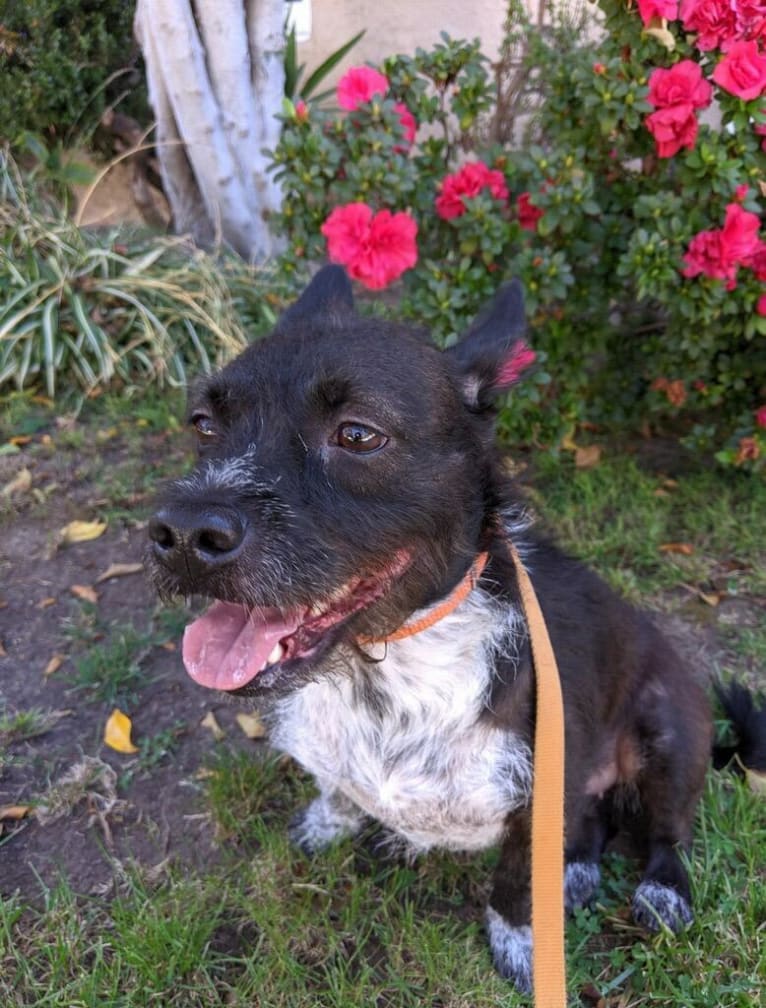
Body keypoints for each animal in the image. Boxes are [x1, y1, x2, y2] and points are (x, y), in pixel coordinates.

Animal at [148, 266, 729, 991]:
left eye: (358, 434)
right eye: (203, 424)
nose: (181, 535)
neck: (387, 666)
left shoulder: (541, 798)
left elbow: (514, 886)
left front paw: (521, 946)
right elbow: (336, 786)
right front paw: (329, 821)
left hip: (669, 732)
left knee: (669, 834)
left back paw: (659, 890)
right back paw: (576, 870)